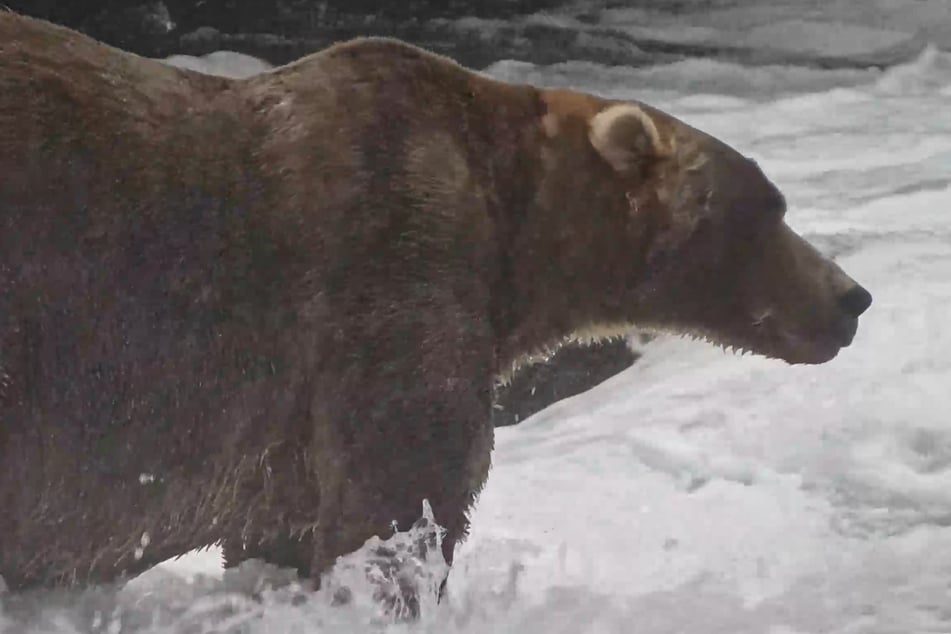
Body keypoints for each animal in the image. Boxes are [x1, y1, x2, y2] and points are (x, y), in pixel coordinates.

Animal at [0, 11, 872, 606]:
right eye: (767, 207)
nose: (850, 297)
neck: (517, 234)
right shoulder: (389, 268)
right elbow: (400, 496)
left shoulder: (280, 434)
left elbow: (281, 531)